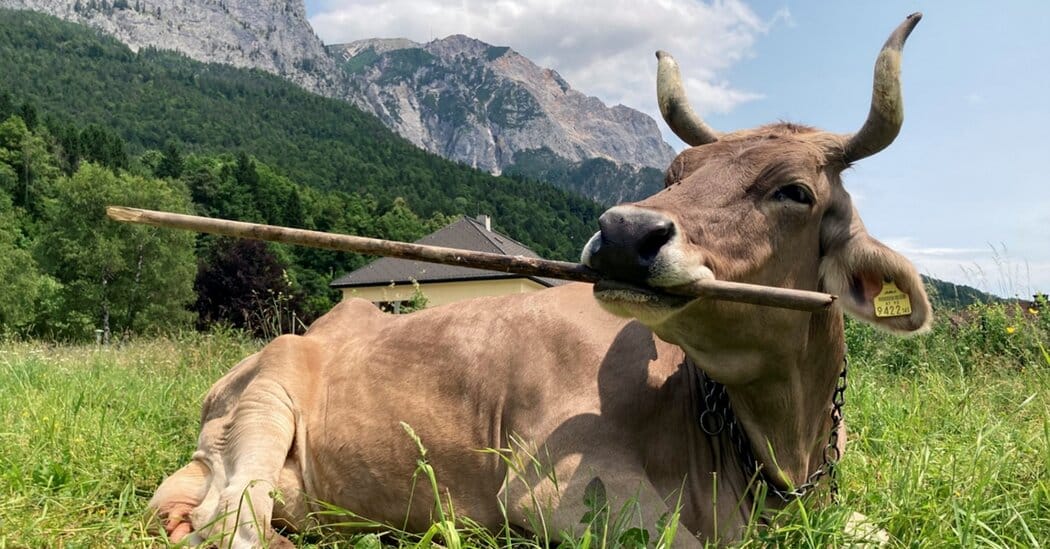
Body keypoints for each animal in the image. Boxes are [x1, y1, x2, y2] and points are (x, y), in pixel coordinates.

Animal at [149, 13, 930, 548]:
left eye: (795, 192)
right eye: (675, 172)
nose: (624, 233)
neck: (779, 448)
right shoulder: (560, 489)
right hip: (267, 401)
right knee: (230, 521)